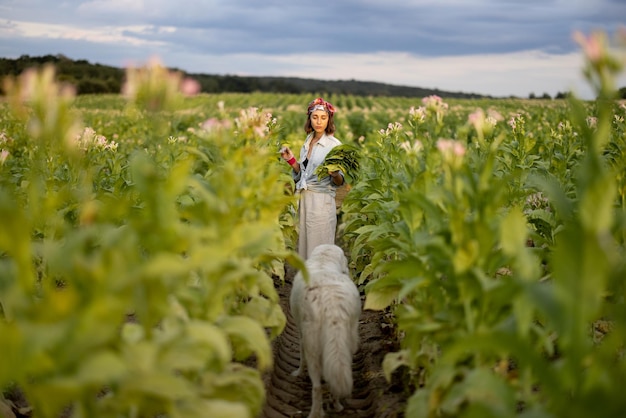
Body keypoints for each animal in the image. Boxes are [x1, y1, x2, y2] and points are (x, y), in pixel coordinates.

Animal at [288, 243, 360, 416]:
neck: (323, 261)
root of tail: (331, 303)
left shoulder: (301, 333)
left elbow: (301, 357)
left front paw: (297, 373)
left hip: (312, 344)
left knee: (317, 387)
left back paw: (315, 413)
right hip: (347, 341)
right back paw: (337, 405)